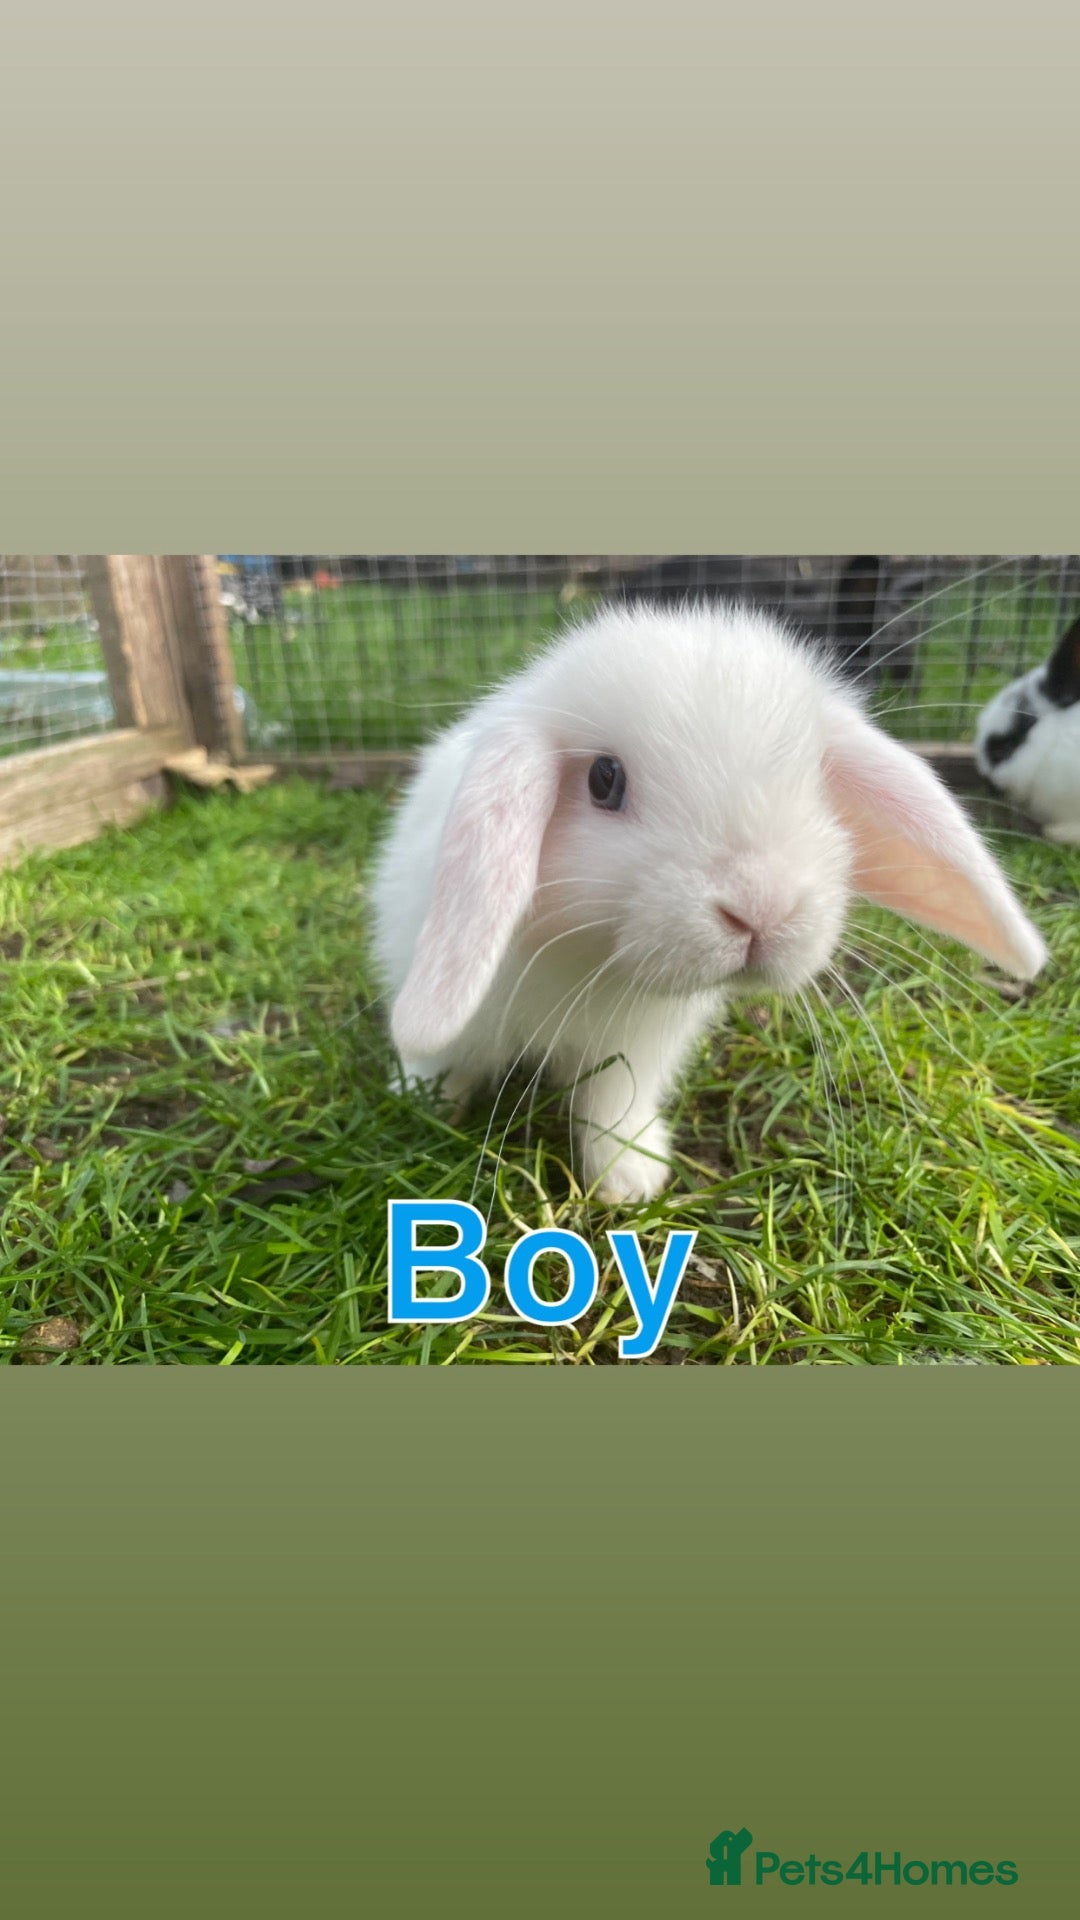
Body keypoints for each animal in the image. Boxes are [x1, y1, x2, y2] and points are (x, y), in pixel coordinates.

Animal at [372, 601, 1047, 1205]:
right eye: (604, 779)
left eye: (814, 782)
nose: (761, 908)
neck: (584, 957)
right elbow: (437, 1059)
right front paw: (422, 1102)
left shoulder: (633, 1051)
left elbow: (613, 1103)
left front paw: (631, 1179)